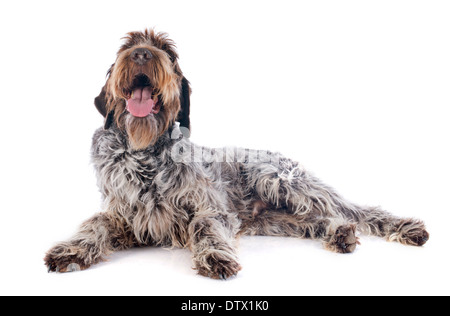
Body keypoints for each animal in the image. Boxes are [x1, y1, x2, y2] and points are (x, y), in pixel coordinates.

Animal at [44, 29, 428, 278]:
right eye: (127, 47)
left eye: (168, 53)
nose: (141, 54)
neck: (145, 153)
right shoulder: (125, 216)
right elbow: (95, 223)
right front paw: (72, 249)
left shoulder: (212, 209)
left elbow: (204, 225)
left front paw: (214, 256)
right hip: (273, 220)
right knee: (318, 221)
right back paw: (340, 234)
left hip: (280, 180)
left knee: (358, 211)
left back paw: (404, 228)